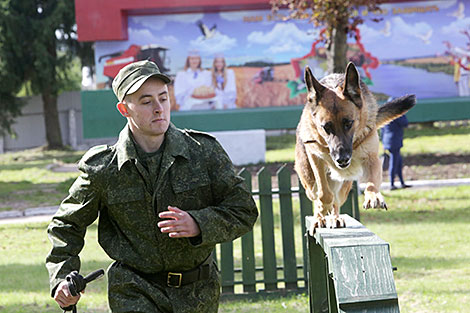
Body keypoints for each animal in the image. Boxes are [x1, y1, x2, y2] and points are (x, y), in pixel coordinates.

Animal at [298, 62, 414, 230]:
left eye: (348, 123)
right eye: (326, 127)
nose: (342, 159)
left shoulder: (372, 159)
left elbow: (372, 182)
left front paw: (373, 196)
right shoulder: (315, 158)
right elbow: (324, 194)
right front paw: (322, 209)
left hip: (344, 188)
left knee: (337, 201)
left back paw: (335, 217)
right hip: (309, 182)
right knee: (318, 195)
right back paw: (320, 217)